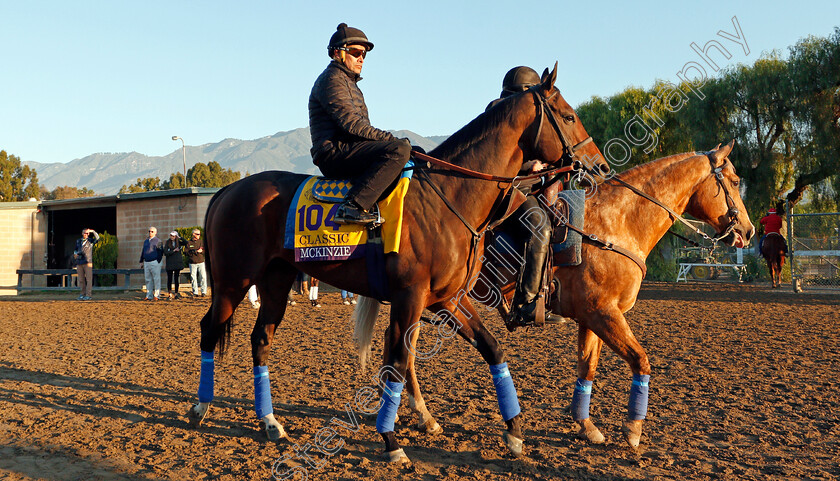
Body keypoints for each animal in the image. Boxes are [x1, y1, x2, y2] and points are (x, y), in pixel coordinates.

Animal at [187, 65, 608, 464]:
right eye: (569, 116)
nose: (600, 167)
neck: (448, 198)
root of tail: (228, 189)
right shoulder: (410, 298)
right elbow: (398, 362)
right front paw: (391, 441)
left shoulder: (448, 300)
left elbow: (491, 350)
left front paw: (515, 431)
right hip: (233, 282)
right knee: (210, 328)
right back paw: (201, 406)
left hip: (275, 281)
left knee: (261, 339)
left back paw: (270, 421)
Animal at [354, 139, 756, 450]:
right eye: (735, 181)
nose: (749, 231)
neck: (617, 223)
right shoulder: (604, 314)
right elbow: (640, 360)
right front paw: (632, 430)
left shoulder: (593, 318)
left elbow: (587, 367)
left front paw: (587, 426)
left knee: (401, 352)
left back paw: (421, 417)